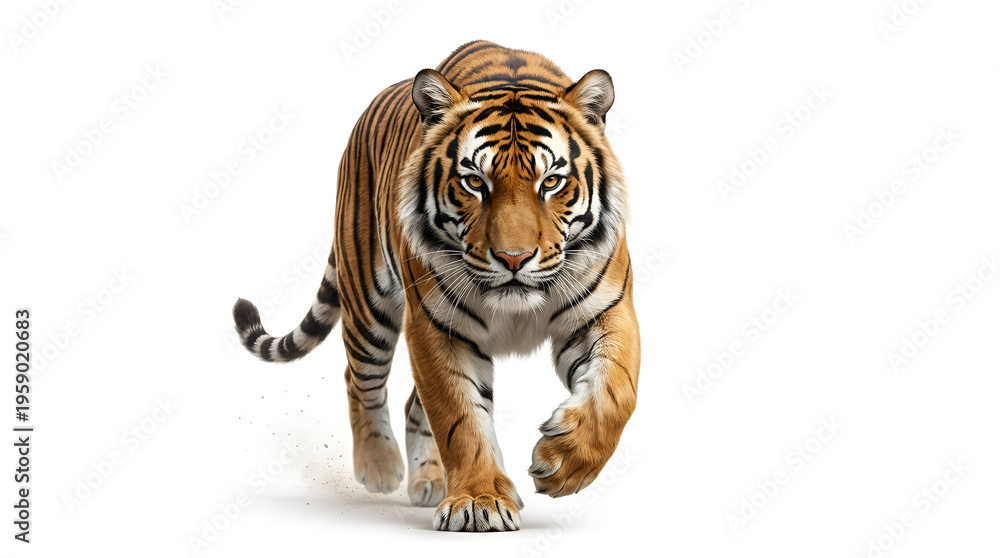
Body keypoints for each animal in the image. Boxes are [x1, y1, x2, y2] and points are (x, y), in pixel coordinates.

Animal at [232, 40, 640, 532]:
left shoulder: (606, 311)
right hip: (368, 306)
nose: (514, 258)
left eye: (552, 182)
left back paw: (430, 480)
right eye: (474, 182)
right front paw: (480, 502)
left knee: (412, 405)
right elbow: (459, 417)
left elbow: (616, 393)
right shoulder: (435, 326)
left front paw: (563, 464)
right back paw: (380, 467)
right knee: (360, 379)